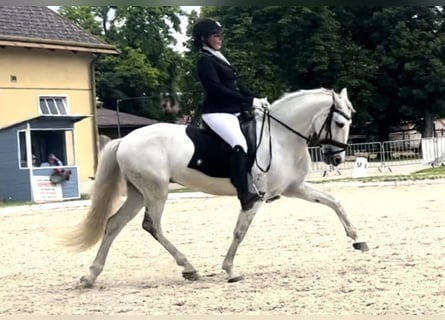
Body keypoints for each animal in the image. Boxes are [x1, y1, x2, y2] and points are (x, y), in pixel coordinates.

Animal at [62, 87, 368, 288]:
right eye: (340, 122)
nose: (336, 158)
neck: (281, 137)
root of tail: (124, 140)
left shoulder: (294, 187)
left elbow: (333, 201)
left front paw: (357, 239)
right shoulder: (255, 199)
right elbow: (239, 232)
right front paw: (230, 270)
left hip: (138, 193)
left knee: (114, 224)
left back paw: (90, 275)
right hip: (156, 191)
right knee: (152, 226)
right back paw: (188, 268)